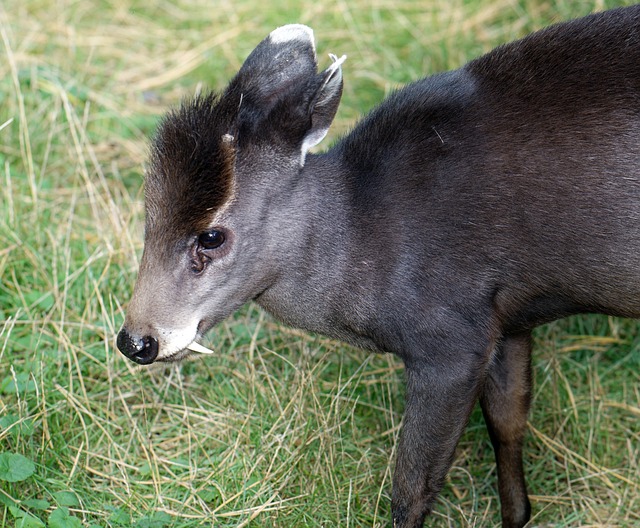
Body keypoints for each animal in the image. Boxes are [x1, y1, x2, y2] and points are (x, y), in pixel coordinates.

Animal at [117, 8, 640, 528]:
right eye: (148, 215)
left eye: (211, 236)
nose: (136, 341)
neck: (368, 242)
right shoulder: (507, 318)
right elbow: (508, 422)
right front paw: (518, 513)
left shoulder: (452, 337)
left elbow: (412, 488)